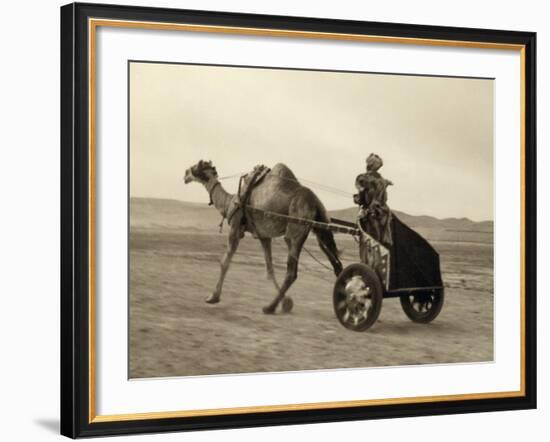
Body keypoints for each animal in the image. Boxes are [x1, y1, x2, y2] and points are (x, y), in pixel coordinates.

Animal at [183, 161, 342, 312]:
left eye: (195, 166)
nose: (185, 175)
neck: (229, 202)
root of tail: (315, 201)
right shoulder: (264, 236)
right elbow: (269, 269)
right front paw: (286, 302)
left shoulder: (235, 227)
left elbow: (224, 262)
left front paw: (213, 297)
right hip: (321, 227)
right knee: (336, 264)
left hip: (295, 229)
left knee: (292, 271)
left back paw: (270, 307)